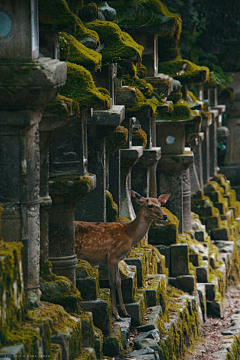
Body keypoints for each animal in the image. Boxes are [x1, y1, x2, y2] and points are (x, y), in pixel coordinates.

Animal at [74, 191, 170, 320]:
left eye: (160, 204)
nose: (164, 216)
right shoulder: (112, 257)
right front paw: (116, 314)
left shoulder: (117, 259)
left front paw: (125, 312)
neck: (129, 235)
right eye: (150, 205)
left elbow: (119, 282)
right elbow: (112, 283)